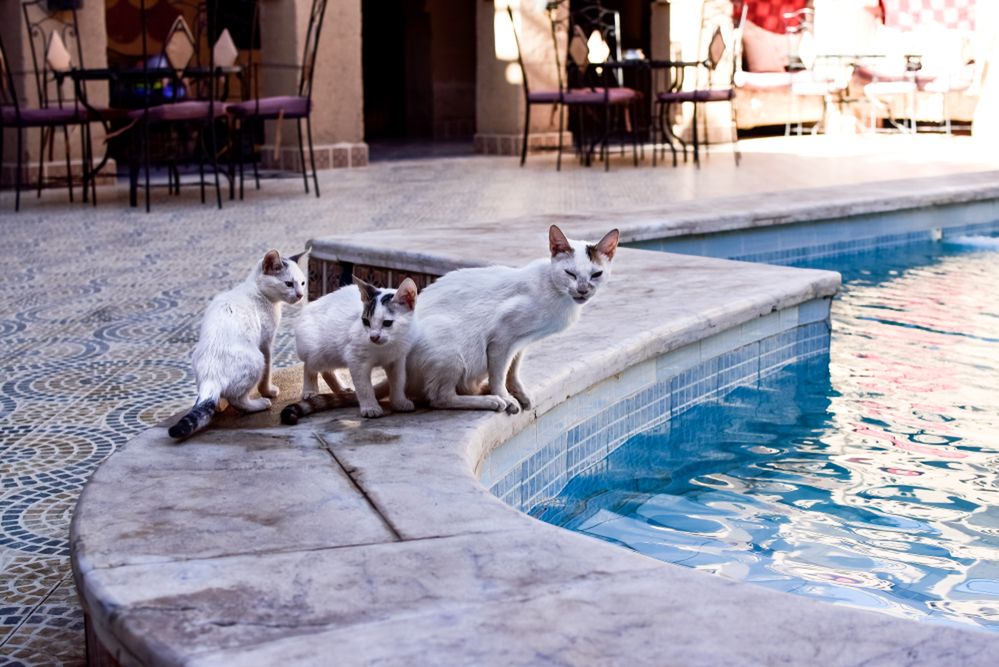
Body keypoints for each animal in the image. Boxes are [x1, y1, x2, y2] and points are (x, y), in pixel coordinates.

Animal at [168, 248, 304, 440]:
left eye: (303, 283)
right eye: (289, 284)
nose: (301, 295)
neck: (256, 290)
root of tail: (211, 376)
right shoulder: (266, 344)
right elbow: (267, 374)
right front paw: (268, 391)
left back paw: (220, 403)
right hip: (257, 359)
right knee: (239, 400)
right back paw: (260, 403)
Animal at [280, 276, 420, 422]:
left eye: (387, 323)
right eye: (366, 321)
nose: (373, 337)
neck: (387, 346)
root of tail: (309, 306)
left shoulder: (397, 359)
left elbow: (399, 380)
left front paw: (399, 401)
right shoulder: (356, 359)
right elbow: (364, 387)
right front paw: (370, 407)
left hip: (331, 354)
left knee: (326, 370)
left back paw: (341, 389)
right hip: (315, 350)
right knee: (309, 366)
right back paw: (310, 390)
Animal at [406, 224, 616, 412]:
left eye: (596, 274)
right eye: (570, 273)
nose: (582, 290)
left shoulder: (520, 343)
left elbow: (512, 372)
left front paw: (520, 395)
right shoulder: (502, 339)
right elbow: (499, 375)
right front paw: (505, 398)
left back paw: (484, 390)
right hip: (450, 348)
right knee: (440, 398)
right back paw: (492, 401)